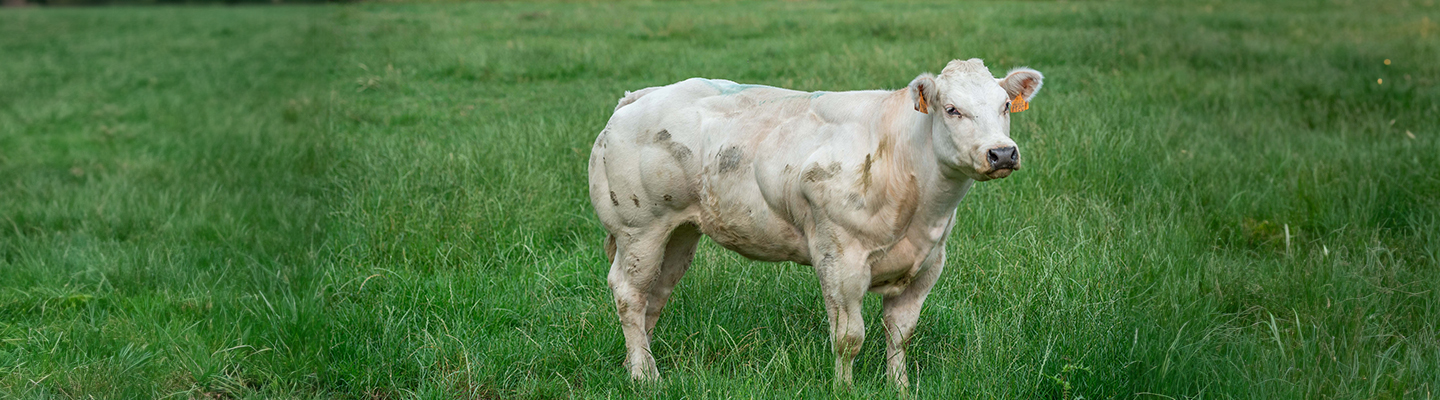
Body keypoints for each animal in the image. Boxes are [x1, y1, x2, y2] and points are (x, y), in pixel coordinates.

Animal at [587, 58, 1044, 389]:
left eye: (1005, 106)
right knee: (629, 294)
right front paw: (844, 388)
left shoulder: (929, 263)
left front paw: (899, 386)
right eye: (951, 110)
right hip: (639, 228)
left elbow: (901, 333)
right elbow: (849, 337)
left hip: (678, 233)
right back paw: (644, 375)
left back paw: (639, 364)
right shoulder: (839, 259)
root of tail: (641, 96)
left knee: (654, 296)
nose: (1002, 153)